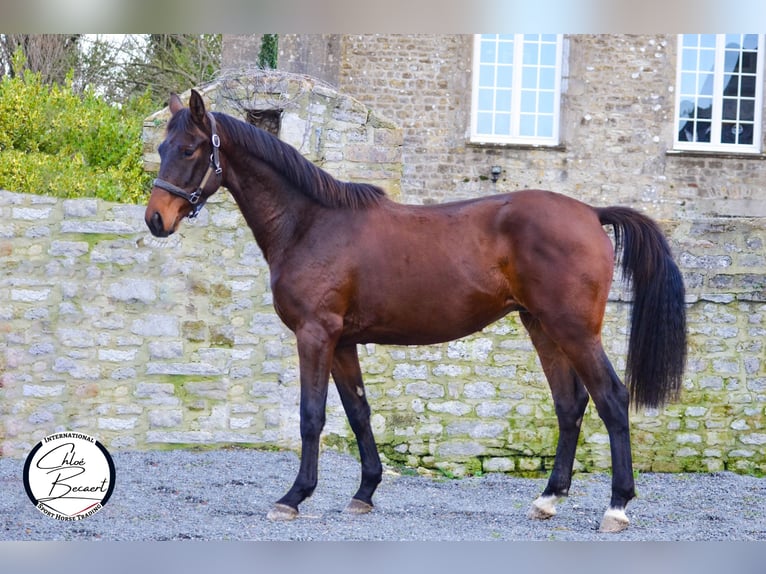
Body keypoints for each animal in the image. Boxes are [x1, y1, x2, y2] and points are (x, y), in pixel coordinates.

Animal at [146, 90, 688, 536]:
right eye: (161, 148)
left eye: (190, 149)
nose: (155, 219)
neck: (311, 224)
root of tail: (591, 213)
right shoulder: (342, 342)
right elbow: (359, 412)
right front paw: (364, 493)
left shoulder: (315, 335)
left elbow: (311, 415)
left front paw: (293, 497)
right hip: (542, 327)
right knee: (569, 406)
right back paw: (548, 500)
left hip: (574, 331)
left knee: (611, 399)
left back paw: (616, 508)